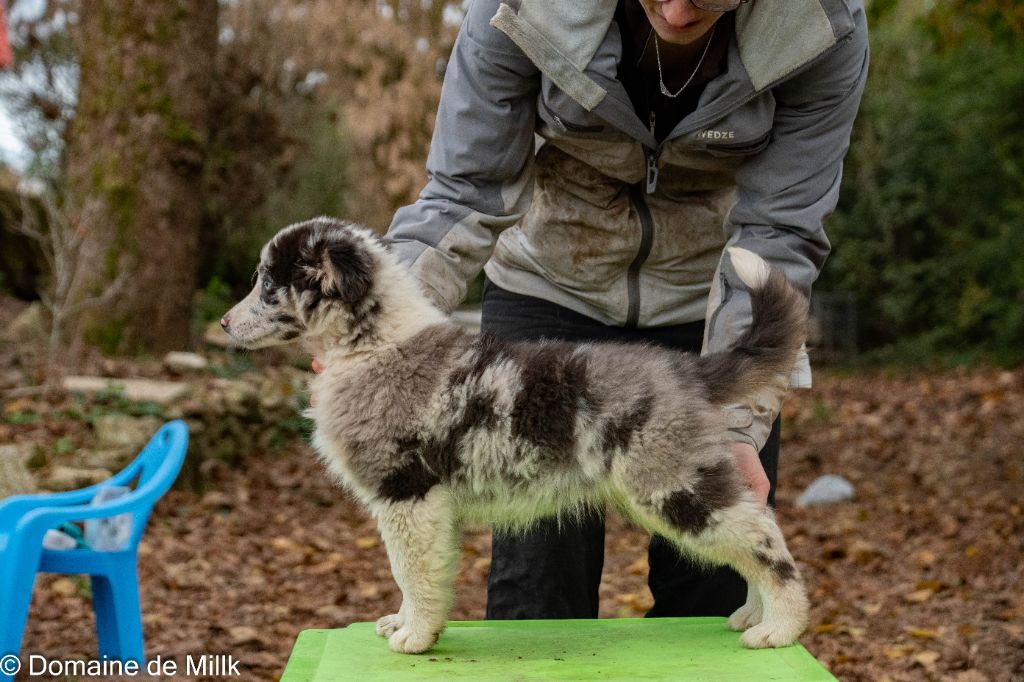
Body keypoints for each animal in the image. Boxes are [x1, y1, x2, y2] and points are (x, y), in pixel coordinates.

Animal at [221, 217, 811, 653]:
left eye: (268, 284)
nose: (224, 324)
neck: (374, 345)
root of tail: (690, 370)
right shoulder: (419, 504)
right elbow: (415, 573)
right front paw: (405, 623)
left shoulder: (406, 493)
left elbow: (411, 570)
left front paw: (416, 636)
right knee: (756, 526)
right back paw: (753, 615)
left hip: (672, 486)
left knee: (765, 541)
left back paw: (781, 628)